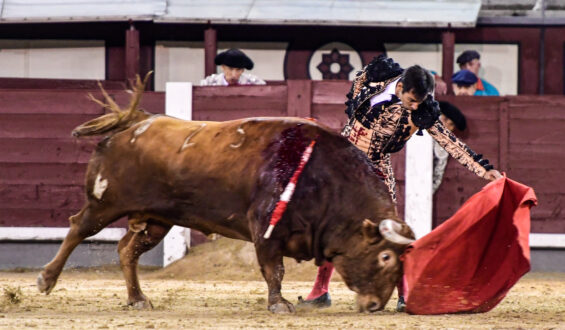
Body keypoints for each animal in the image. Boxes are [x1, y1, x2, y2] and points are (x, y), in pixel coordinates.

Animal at [36, 74, 414, 312]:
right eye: (385, 256)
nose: (376, 306)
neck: (322, 177)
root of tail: (137, 122)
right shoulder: (266, 228)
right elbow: (274, 269)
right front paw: (279, 304)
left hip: (157, 219)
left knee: (128, 250)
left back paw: (138, 298)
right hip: (106, 201)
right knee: (78, 228)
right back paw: (45, 280)